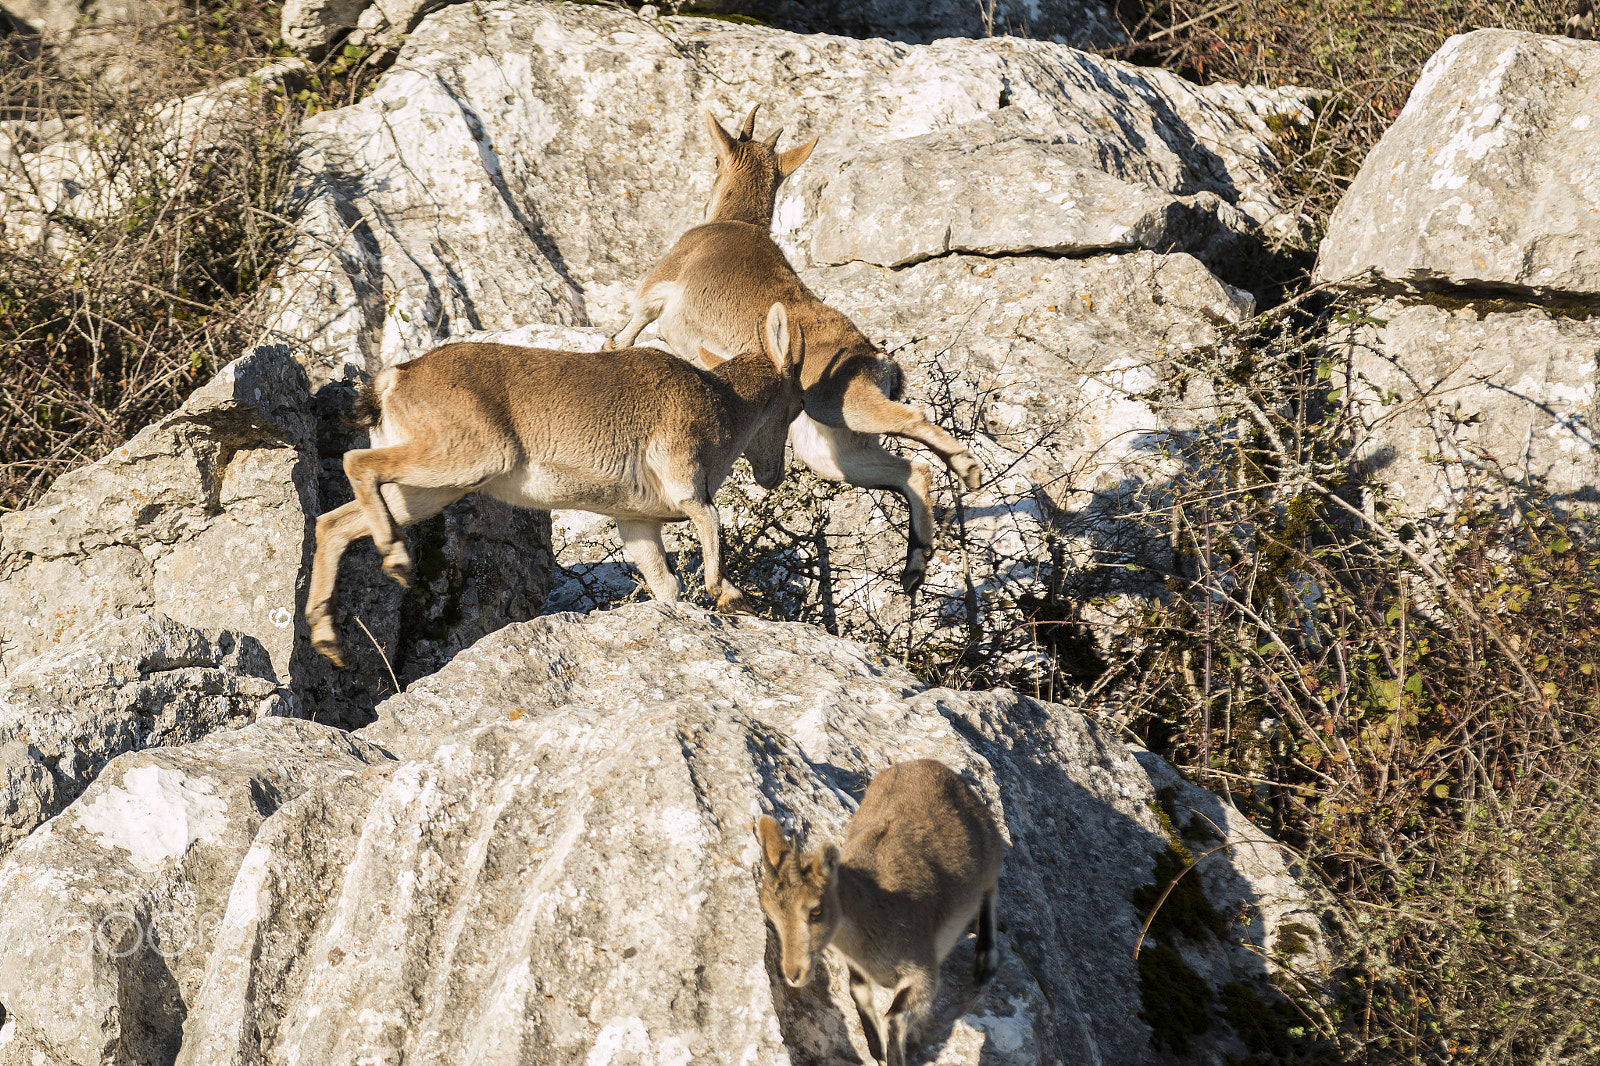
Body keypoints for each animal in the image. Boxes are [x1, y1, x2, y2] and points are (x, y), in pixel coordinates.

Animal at [306, 303, 803, 666]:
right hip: (470, 457)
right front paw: (732, 597)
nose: (773, 474)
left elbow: (666, 585)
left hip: (430, 489)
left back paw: (325, 635)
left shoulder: (637, 522)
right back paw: (394, 558)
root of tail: (396, 378)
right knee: (356, 462)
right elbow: (712, 520)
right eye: (795, 404)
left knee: (332, 522)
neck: (722, 402)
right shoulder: (683, 478)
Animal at [607, 108, 981, 594]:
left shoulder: (652, 297)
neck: (735, 223)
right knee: (910, 472)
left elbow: (624, 334)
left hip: (840, 404)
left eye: (714, 160)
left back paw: (967, 469)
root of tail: (881, 364)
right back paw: (915, 565)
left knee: (914, 423)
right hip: (830, 448)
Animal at [757, 760, 1003, 1066]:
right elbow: (858, 992)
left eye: (815, 910)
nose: (794, 973)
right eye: (772, 914)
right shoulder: (858, 970)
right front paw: (878, 1050)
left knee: (990, 891)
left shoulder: (923, 969)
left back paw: (985, 960)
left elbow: (893, 1018)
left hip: (989, 851)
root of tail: (927, 764)